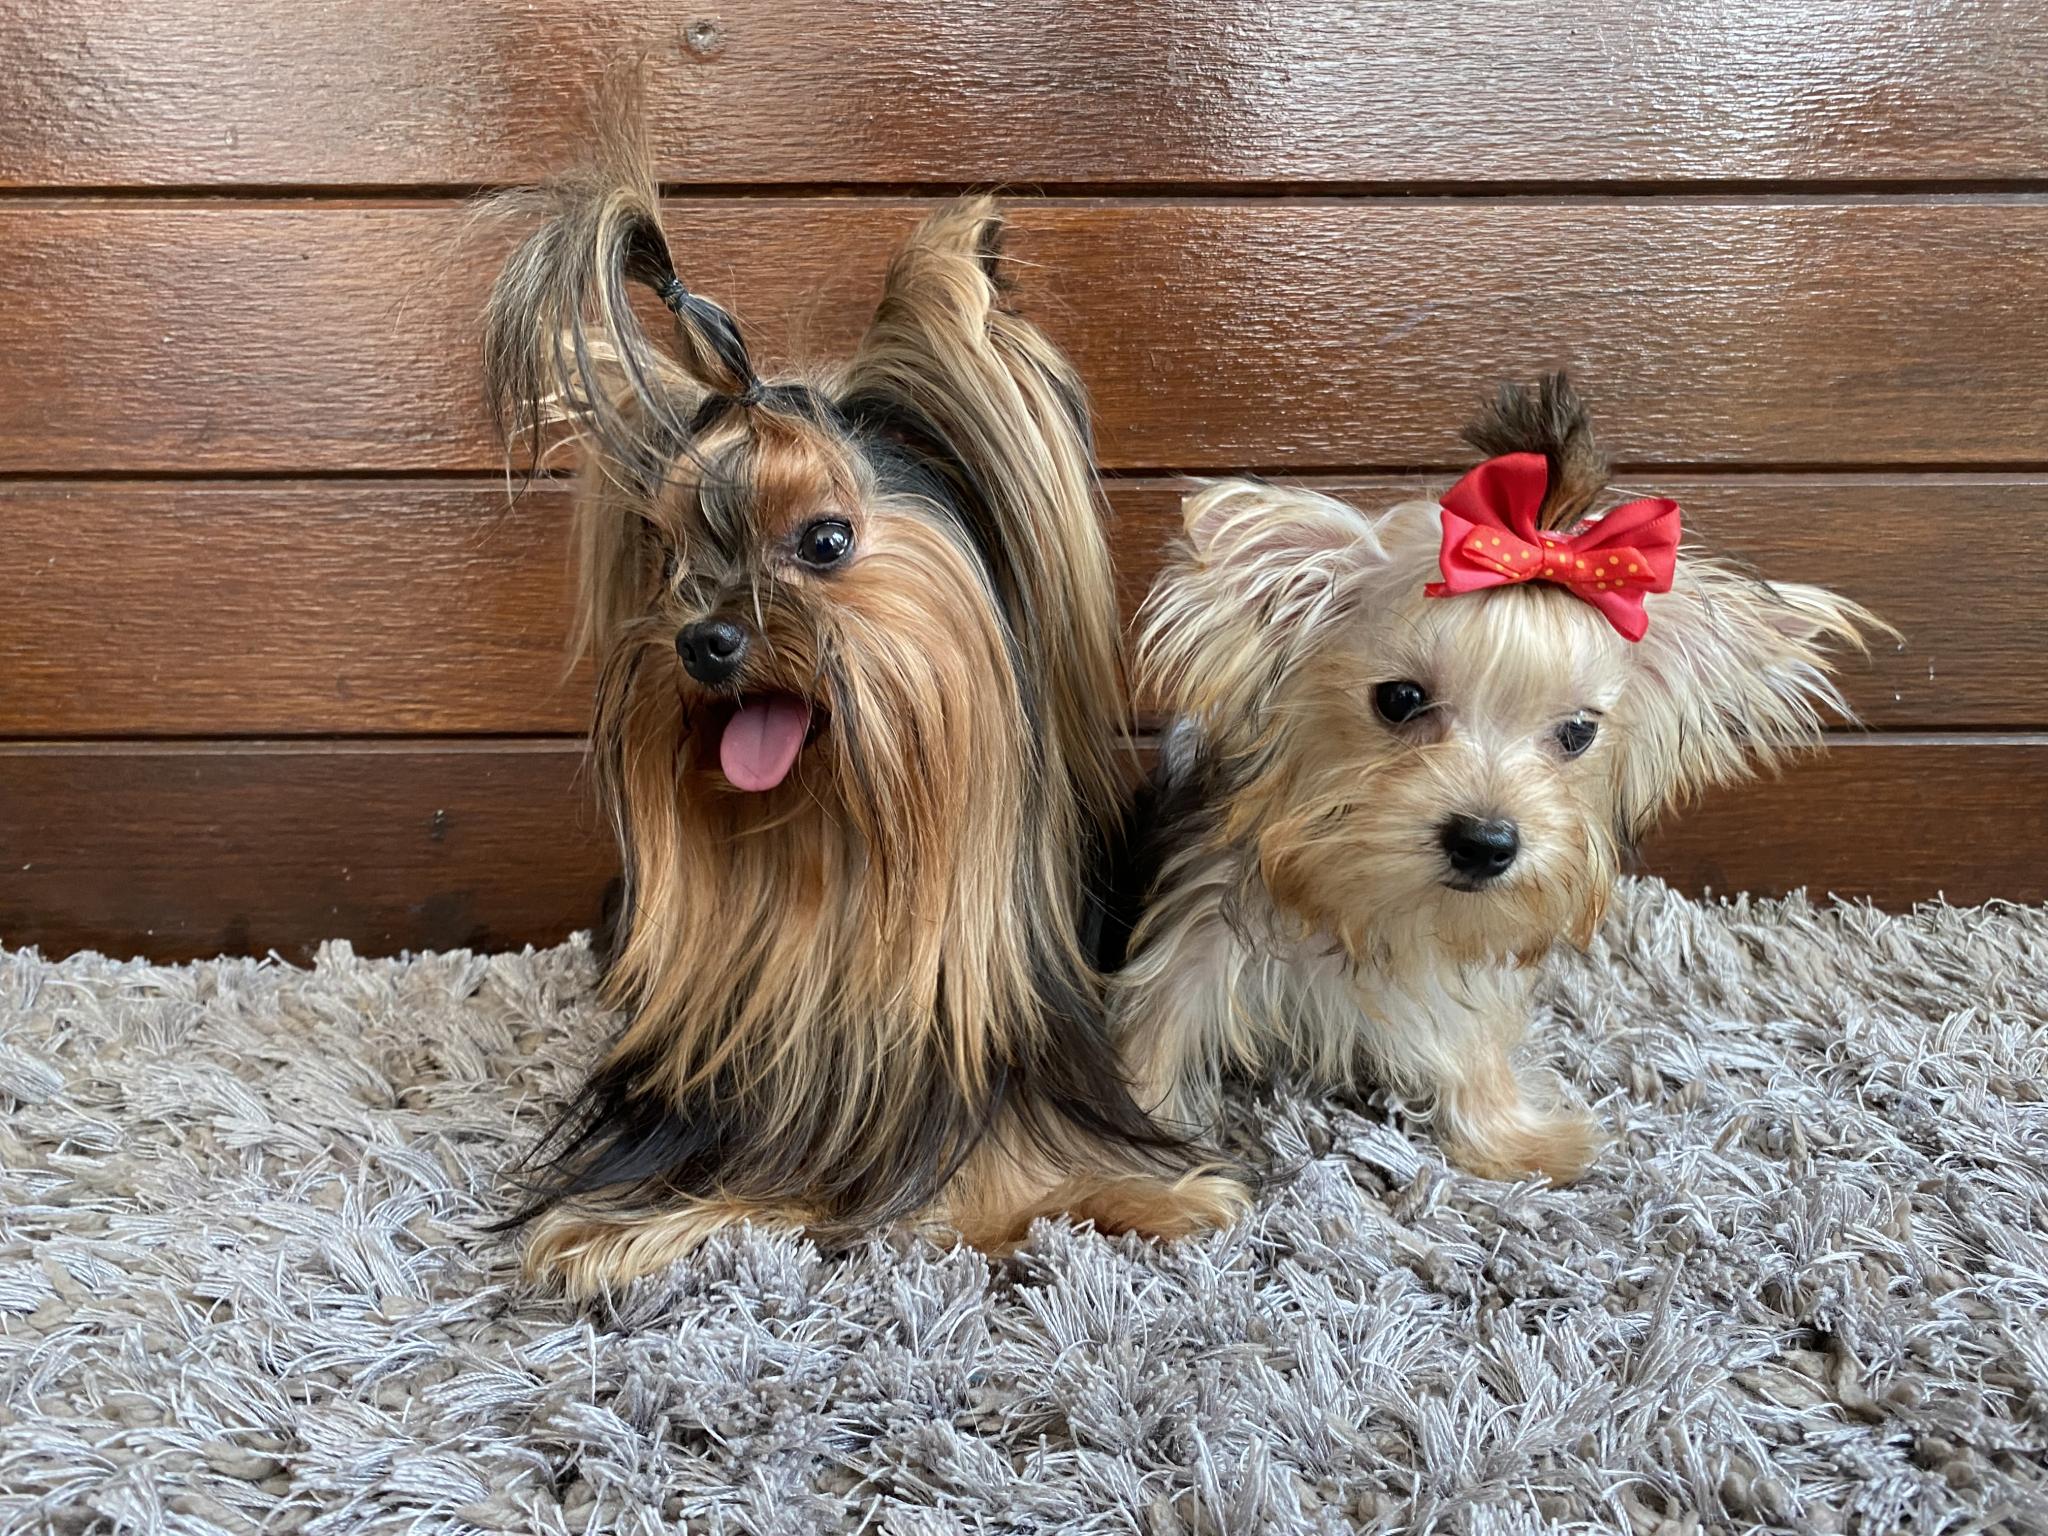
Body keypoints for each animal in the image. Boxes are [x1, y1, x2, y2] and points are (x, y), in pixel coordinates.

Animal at [484, 101, 1244, 1294]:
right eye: (672, 560)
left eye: (826, 542)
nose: (705, 641)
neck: (841, 869)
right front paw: (614, 1236)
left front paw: (1154, 1201)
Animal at [1117, 374, 1883, 1184]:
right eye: (1399, 698)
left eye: (1578, 732)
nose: (1486, 843)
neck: (1366, 906)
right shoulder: (1194, 935)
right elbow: (1152, 1042)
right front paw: (1146, 1174)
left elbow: (1474, 1041)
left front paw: (1513, 1140)